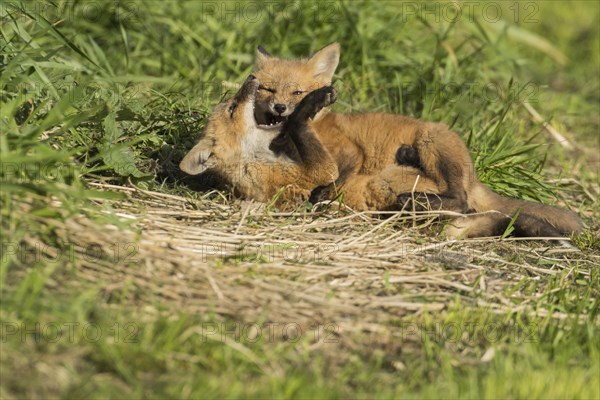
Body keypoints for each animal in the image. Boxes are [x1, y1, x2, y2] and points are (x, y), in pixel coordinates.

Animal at [180, 43, 584, 238]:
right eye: (266, 89)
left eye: (295, 92)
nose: (280, 107)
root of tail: (474, 177)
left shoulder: (344, 151)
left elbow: (331, 170)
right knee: (470, 210)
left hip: (433, 144)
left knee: (457, 198)